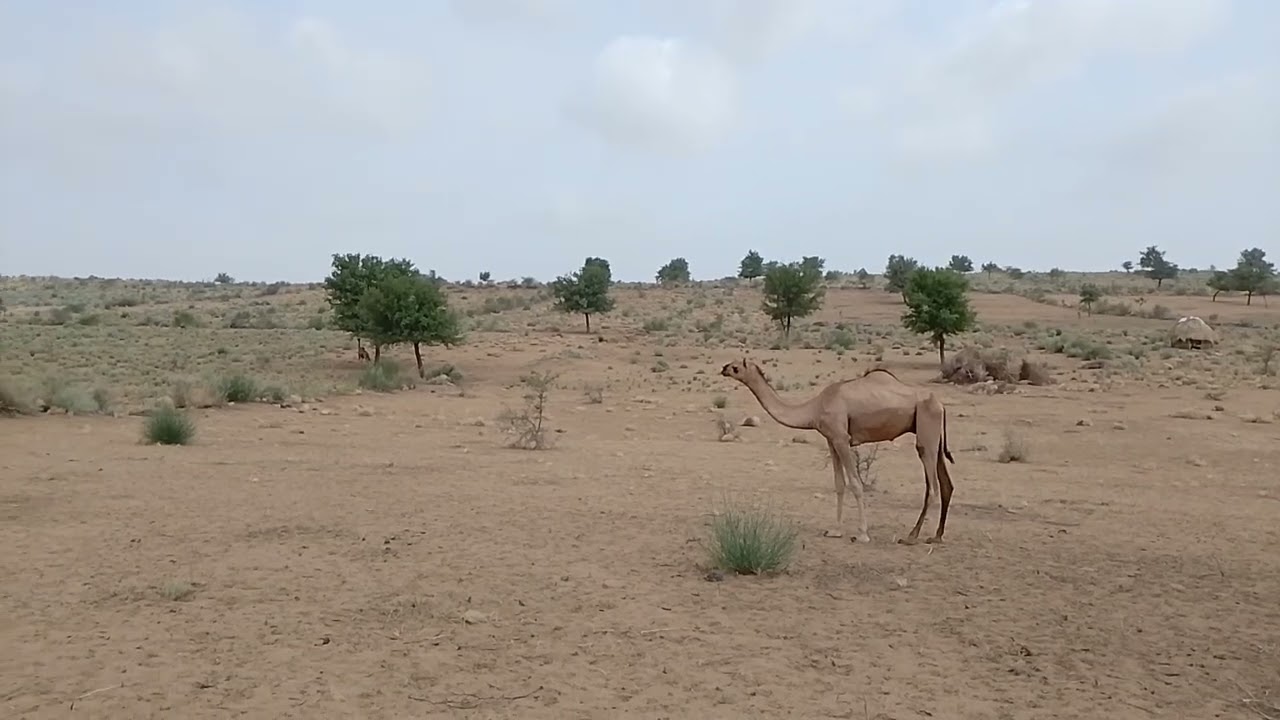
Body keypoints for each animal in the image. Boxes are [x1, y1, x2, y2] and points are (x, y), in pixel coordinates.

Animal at [720, 359, 955, 545]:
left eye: (735, 367)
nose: (723, 369)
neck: (813, 409)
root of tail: (940, 404)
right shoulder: (831, 440)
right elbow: (839, 484)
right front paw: (835, 530)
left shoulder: (842, 439)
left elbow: (856, 484)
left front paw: (862, 534)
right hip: (933, 435)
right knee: (946, 485)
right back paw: (936, 536)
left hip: (926, 430)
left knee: (932, 486)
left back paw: (911, 536)